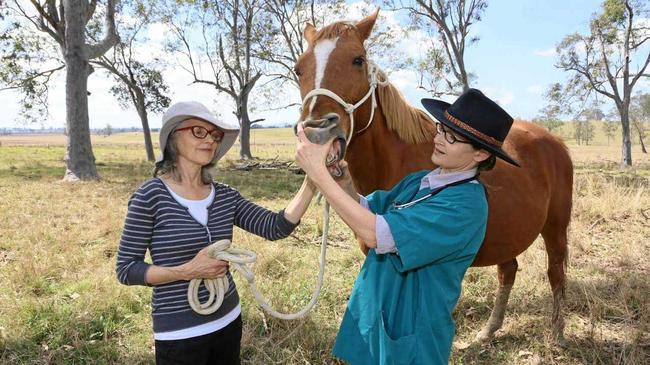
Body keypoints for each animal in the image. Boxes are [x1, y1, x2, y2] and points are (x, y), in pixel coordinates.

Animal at [294, 9, 572, 344]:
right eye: (298, 69)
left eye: (357, 60)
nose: (317, 129)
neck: (394, 160)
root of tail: (554, 141)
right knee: (508, 269)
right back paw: (488, 331)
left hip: (555, 227)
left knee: (555, 273)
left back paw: (557, 333)